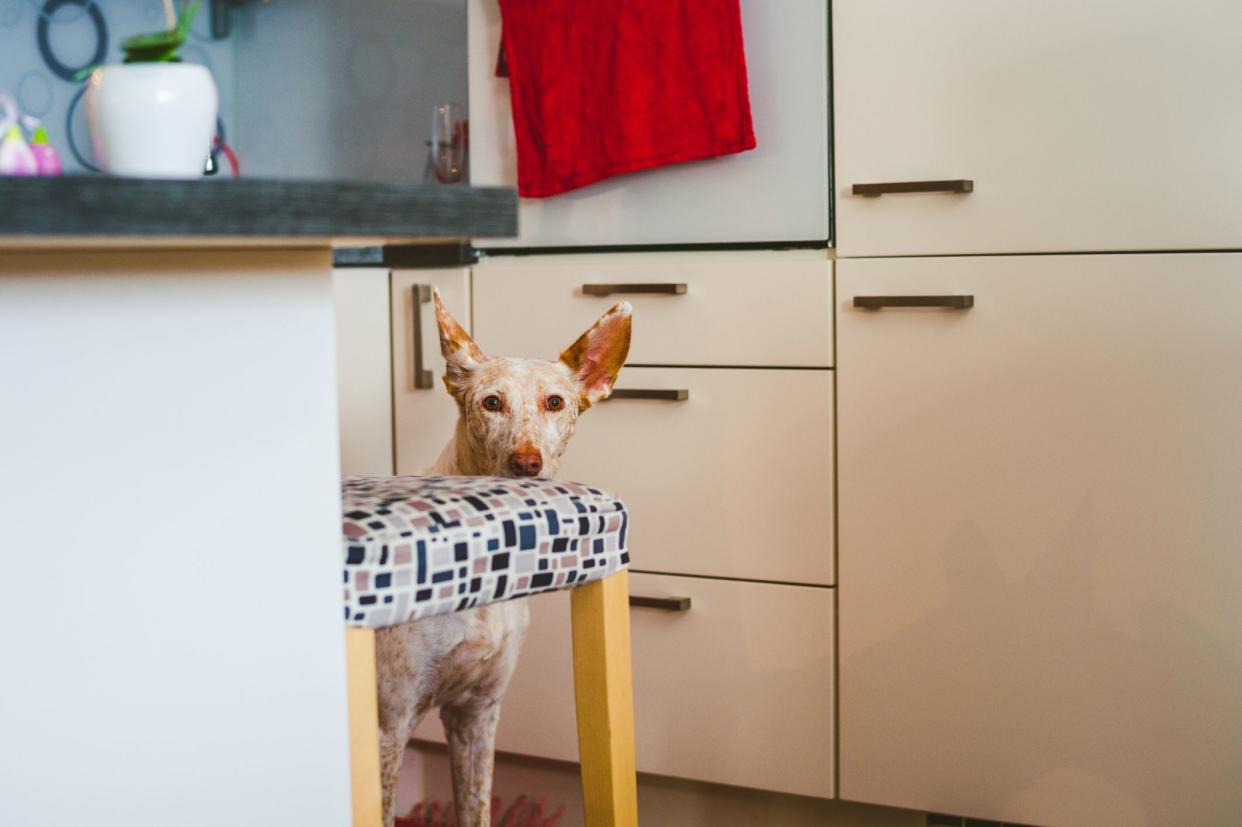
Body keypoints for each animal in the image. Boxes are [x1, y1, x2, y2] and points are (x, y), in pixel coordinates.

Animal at [372, 289, 630, 824]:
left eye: (555, 402)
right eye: (492, 403)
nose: (527, 463)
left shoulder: (476, 714)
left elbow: (476, 809)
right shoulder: (389, 726)